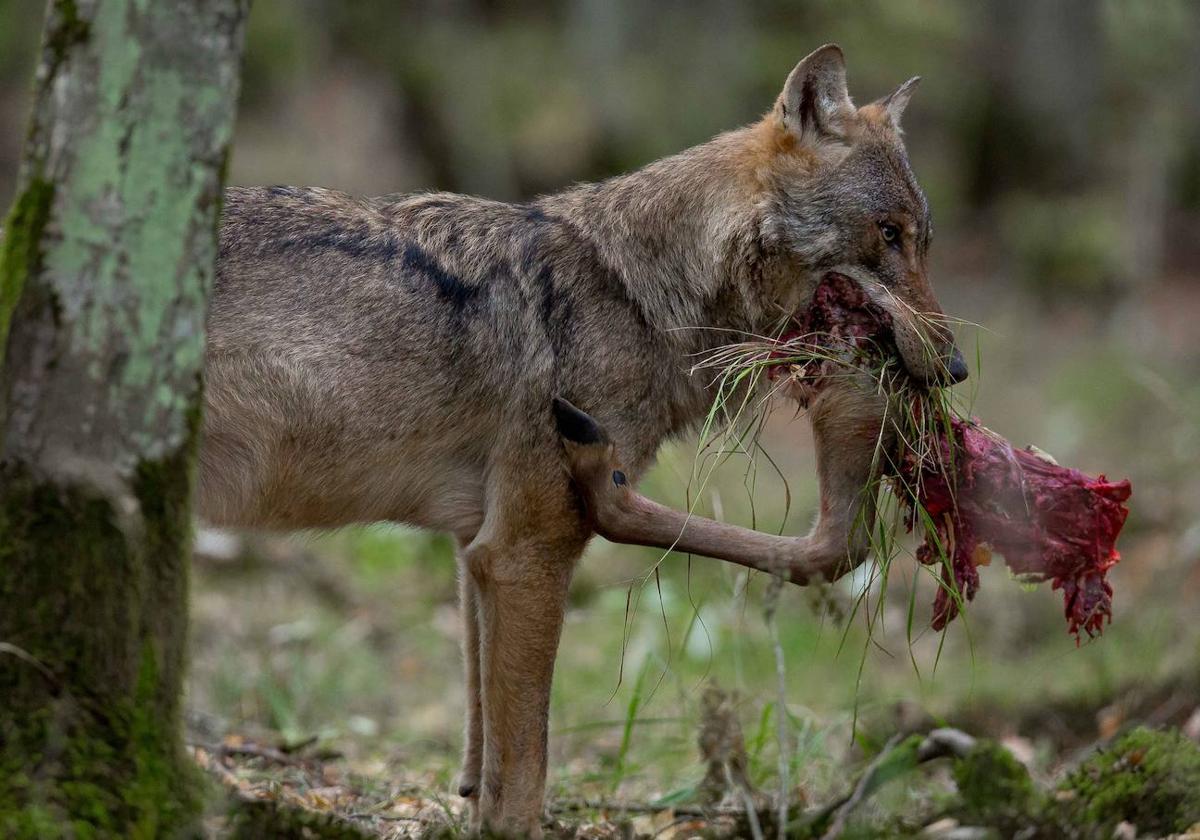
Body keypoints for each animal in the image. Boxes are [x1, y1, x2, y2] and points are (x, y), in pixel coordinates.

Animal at [196, 44, 964, 835]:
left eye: (923, 240)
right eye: (889, 233)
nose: (957, 369)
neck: (641, 298)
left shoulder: (476, 549)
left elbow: (484, 758)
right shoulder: (525, 551)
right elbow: (526, 776)